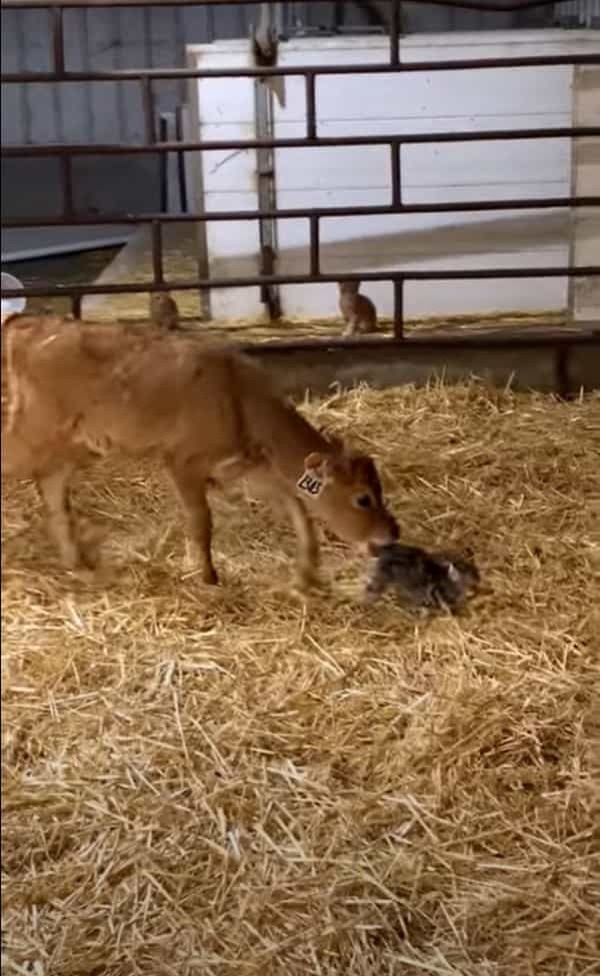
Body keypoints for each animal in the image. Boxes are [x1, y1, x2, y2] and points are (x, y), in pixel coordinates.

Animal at [3, 316, 398, 588]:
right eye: (363, 499)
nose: (392, 533)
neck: (238, 396)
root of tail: (29, 325)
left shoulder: (242, 469)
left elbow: (295, 504)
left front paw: (307, 572)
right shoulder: (183, 462)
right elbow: (201, 522)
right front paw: (208, 577)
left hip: (75, 446)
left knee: (53, 490)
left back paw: (78, 564)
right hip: (34, 430)